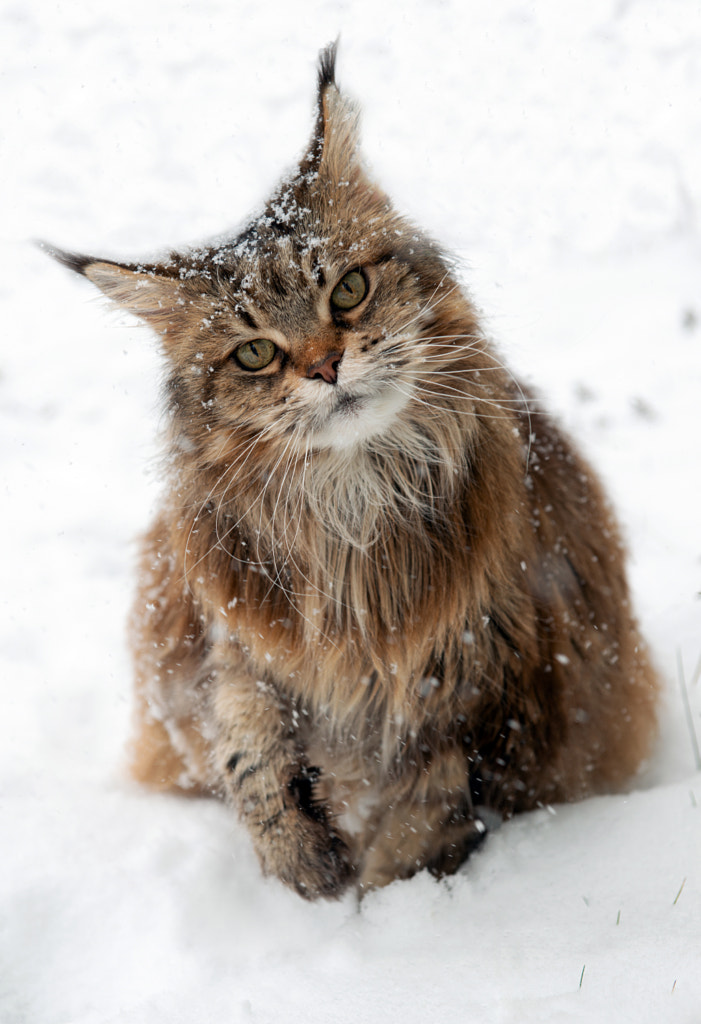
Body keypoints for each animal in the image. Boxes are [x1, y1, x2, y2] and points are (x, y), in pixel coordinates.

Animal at [46, 44, 659, 901]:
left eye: (348, 289)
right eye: (254, 353)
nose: (325, 365)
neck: (353, 502)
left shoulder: (489, 677)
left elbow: (435, 798)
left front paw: (385, 897)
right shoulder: (239, 642)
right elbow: (246, 740)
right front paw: (296, 859)